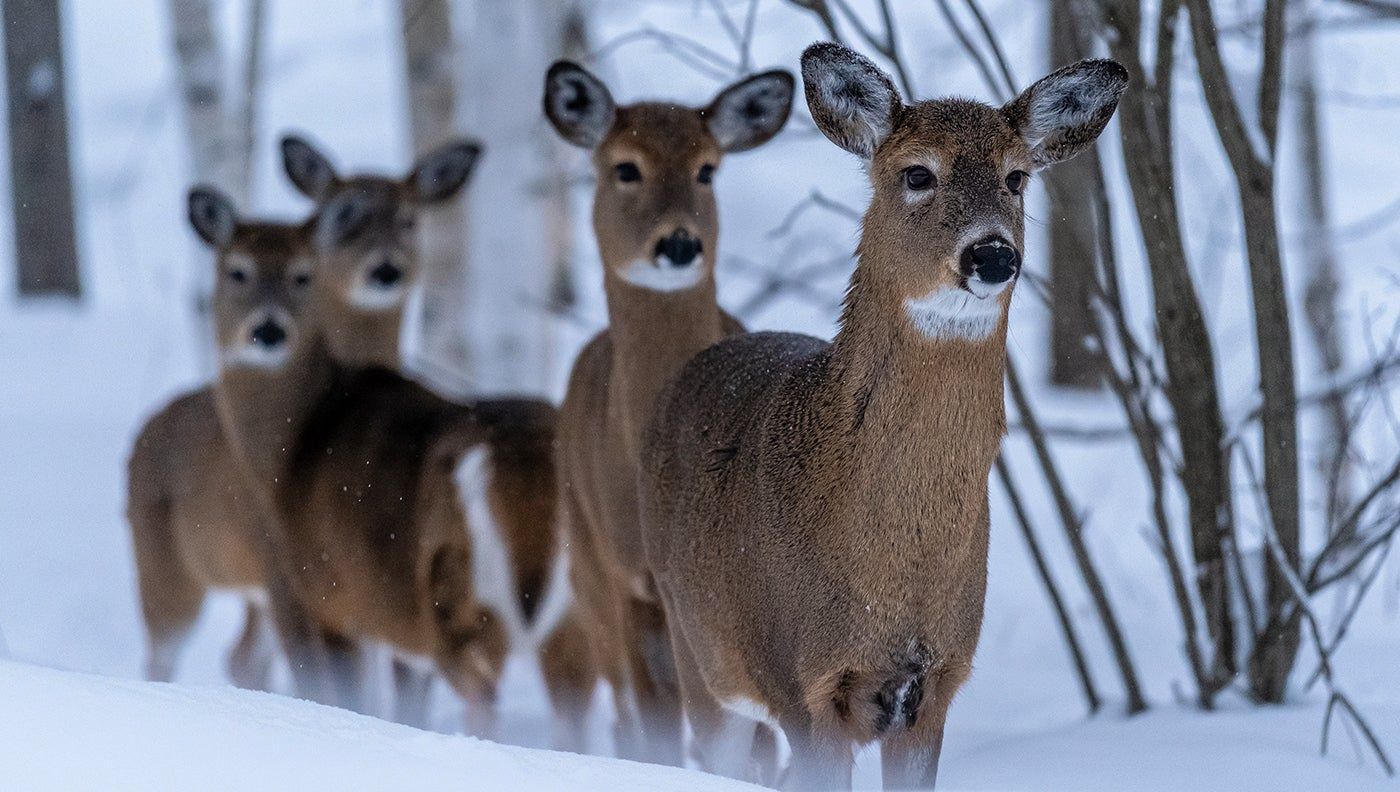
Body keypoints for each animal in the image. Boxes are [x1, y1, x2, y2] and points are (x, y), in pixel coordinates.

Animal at [126, 137, 483, 706]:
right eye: (238, 271)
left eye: (409, 219)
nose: (386, 269)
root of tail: (147, 428)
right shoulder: (290, 576)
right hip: (167, 567)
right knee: (166, 654)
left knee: (243, 658)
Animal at [542, 60, 793, 765]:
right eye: (625, 167)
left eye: (708, 169)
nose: (679, 243)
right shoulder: (630, 579)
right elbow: (656, 729)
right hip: (587, 574)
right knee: (625, 717)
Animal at [640, 42, 1127, 790]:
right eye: (918, 172)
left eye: (1017, 177)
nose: (992, 253)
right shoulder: (801, 679)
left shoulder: (937, 685)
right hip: (699, 651)